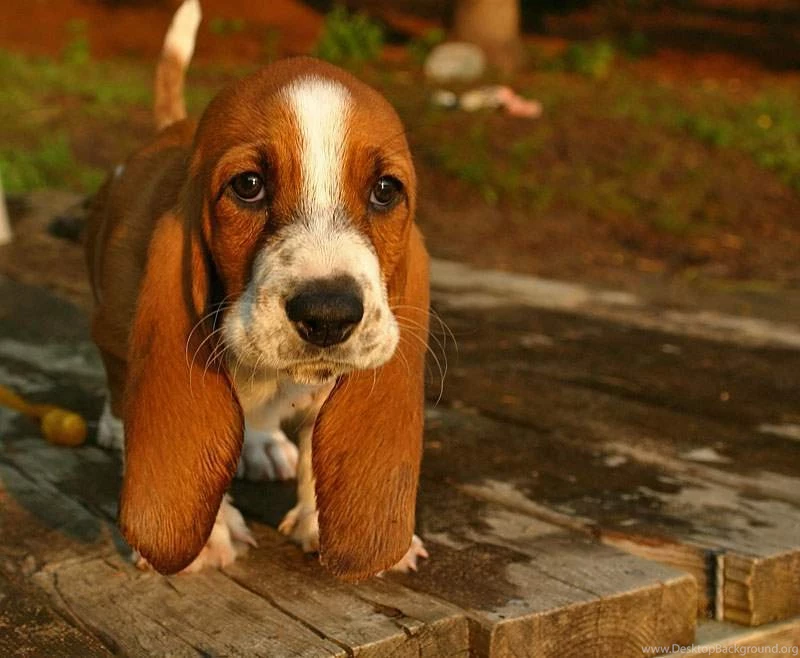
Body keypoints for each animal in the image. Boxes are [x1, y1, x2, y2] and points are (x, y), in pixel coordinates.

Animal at [84, 2, 428, 580]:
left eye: (386, 191)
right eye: (248, 186)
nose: (329, 315)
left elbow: (316, 450)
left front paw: (322, 525)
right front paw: (207, 539)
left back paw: (264, 444)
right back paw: (113, 425)